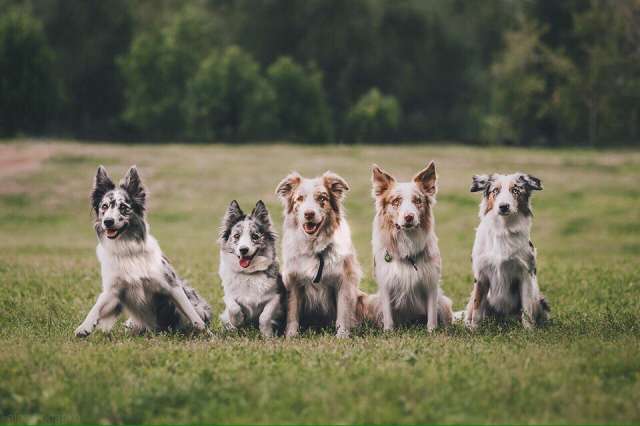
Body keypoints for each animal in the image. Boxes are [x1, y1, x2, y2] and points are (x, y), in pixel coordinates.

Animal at [74, 166, 210, 336]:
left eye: (123, 207)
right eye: (104, 206)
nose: (108, 222)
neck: (127, 248)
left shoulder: (171, 285)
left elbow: (193, 315)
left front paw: (207, 333)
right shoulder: (114, 292)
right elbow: (96, 307)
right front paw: (84, 326)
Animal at [218, 199, 284, 336]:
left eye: (255, 236)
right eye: (236, 236)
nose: (243, 250)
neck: (248, 273)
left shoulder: (276, 296)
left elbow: (265, 316)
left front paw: (267, 334)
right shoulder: (228, 295)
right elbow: (233, 307)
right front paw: (238, 321)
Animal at [276, 171, 362, 338]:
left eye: (322, 198)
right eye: (299, 198)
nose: (309, 214)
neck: (314, 248)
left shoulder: (344, 280)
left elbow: (343, 312)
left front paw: (342, 336)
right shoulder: (293, 281)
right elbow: (292, 312)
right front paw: (291, 336)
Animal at [364, 161, 456, 332]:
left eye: (417, 201)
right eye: (396, 201)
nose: (409, 217)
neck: (407, 242)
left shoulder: (431, 283)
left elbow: (432, 315)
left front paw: (432, 332)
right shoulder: (386, 284)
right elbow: (388, 315)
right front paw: (388, 332)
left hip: (444, 302)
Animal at [464, 171, 552, 328]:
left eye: (515, 190)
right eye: (495, 191)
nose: (503, 206)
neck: (503, 229)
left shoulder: (525, 274)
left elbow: (527, 308)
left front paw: (529, 330)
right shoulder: (481, 275)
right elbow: (477, 307)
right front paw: (475, 329)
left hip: (540, 299)